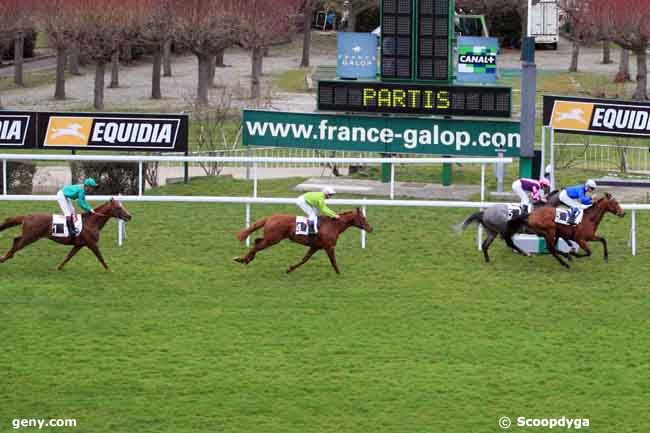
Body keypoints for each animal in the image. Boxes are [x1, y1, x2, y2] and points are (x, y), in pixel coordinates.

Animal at [0, 198, 132, 270]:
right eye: (118, 208)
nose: (129, 216)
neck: (91, 222)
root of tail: (26, 216)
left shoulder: (79, 244)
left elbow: (69, 256)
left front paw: (59, 267)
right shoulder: (92, 244)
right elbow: (100, 257)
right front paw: (109, 270)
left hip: (29, 236)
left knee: (16, 239)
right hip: (30, 236)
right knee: (17, 242)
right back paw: (4, 258)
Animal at [235, 208, 372, 274]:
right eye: (364, 218)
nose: (371, 228)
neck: (333, 225)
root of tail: (270, 217)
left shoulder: (315, 247)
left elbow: (304, 259)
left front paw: (289, 269)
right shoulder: (329, 246)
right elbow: (333, 260)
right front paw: (339, 273)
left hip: (270, 238)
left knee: (257, 241)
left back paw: (246, 259)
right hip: (272, 239)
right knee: (257, 246)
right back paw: (243, 259)